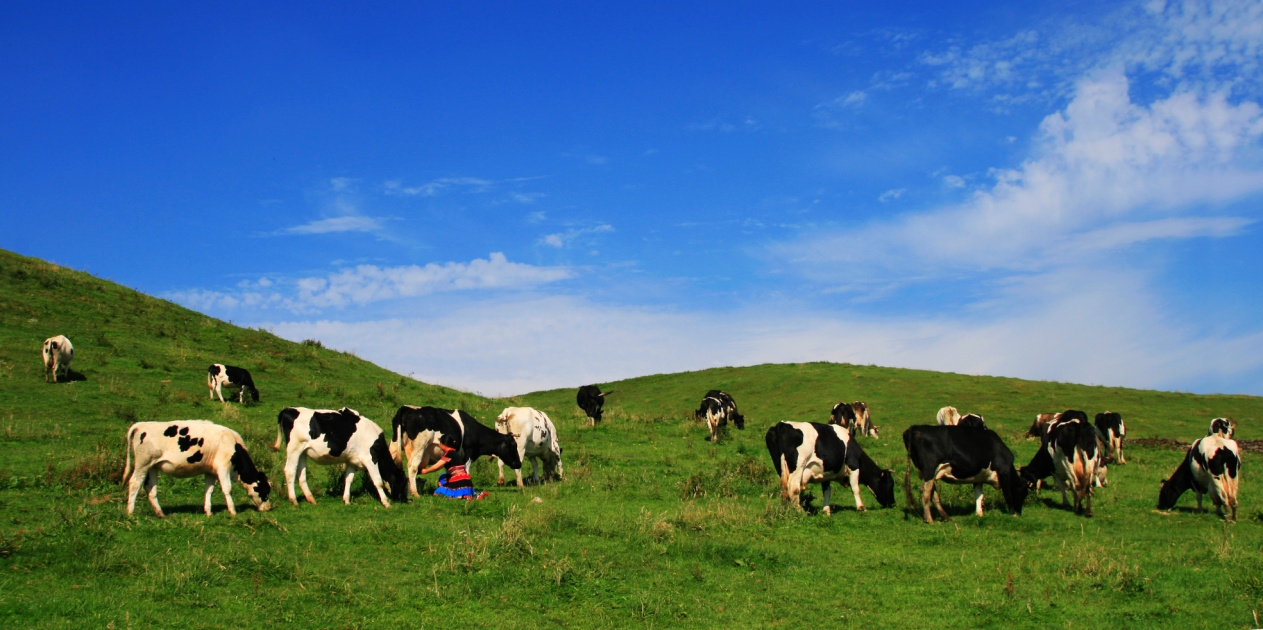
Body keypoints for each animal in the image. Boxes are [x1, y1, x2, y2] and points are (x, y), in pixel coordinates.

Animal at [123, 421, 271, 520]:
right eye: (265, 490)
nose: (268, 508)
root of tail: (141, 425)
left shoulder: (210, 471)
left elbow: (209, 490)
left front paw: (208, 512)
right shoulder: (223, 467)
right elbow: (227, 489)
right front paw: (233, 511)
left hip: (153, 467)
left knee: (150, 488)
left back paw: (160, 514)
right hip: (143, 464)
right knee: (135, 483)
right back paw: (130, 512)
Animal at [272, 409, 406, 507]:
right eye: (404, 482)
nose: (405, 500)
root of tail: (289, 409)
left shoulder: (352, 461)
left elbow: (348, 479)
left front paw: (346, 500)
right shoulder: (370, 459)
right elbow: (378, 481)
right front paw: (386, 502)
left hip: (302, 452)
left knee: (301, 474)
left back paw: (311, 499)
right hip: (294, 449)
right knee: (290, 471)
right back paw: (294, 500)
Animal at [386, 406, 520, 499]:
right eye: (513, 445)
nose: (519, 463)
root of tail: (408, 409)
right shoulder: (469, 454)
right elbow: (466, 472)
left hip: (394, 443)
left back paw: (389, 489)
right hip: (420, 446)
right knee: (412, 467)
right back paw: (415, 493)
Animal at [757, 421, 899, 515]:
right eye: (890, 484)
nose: (893, 504)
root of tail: (781, 425)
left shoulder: (825, 473)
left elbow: (827, 491)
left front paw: (826, 510)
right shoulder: (853, 466)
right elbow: (856, 488)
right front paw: (861, 507)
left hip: (780, 467)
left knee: (785, 489)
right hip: (798, 467)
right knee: (794, 488)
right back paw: (800, 511)